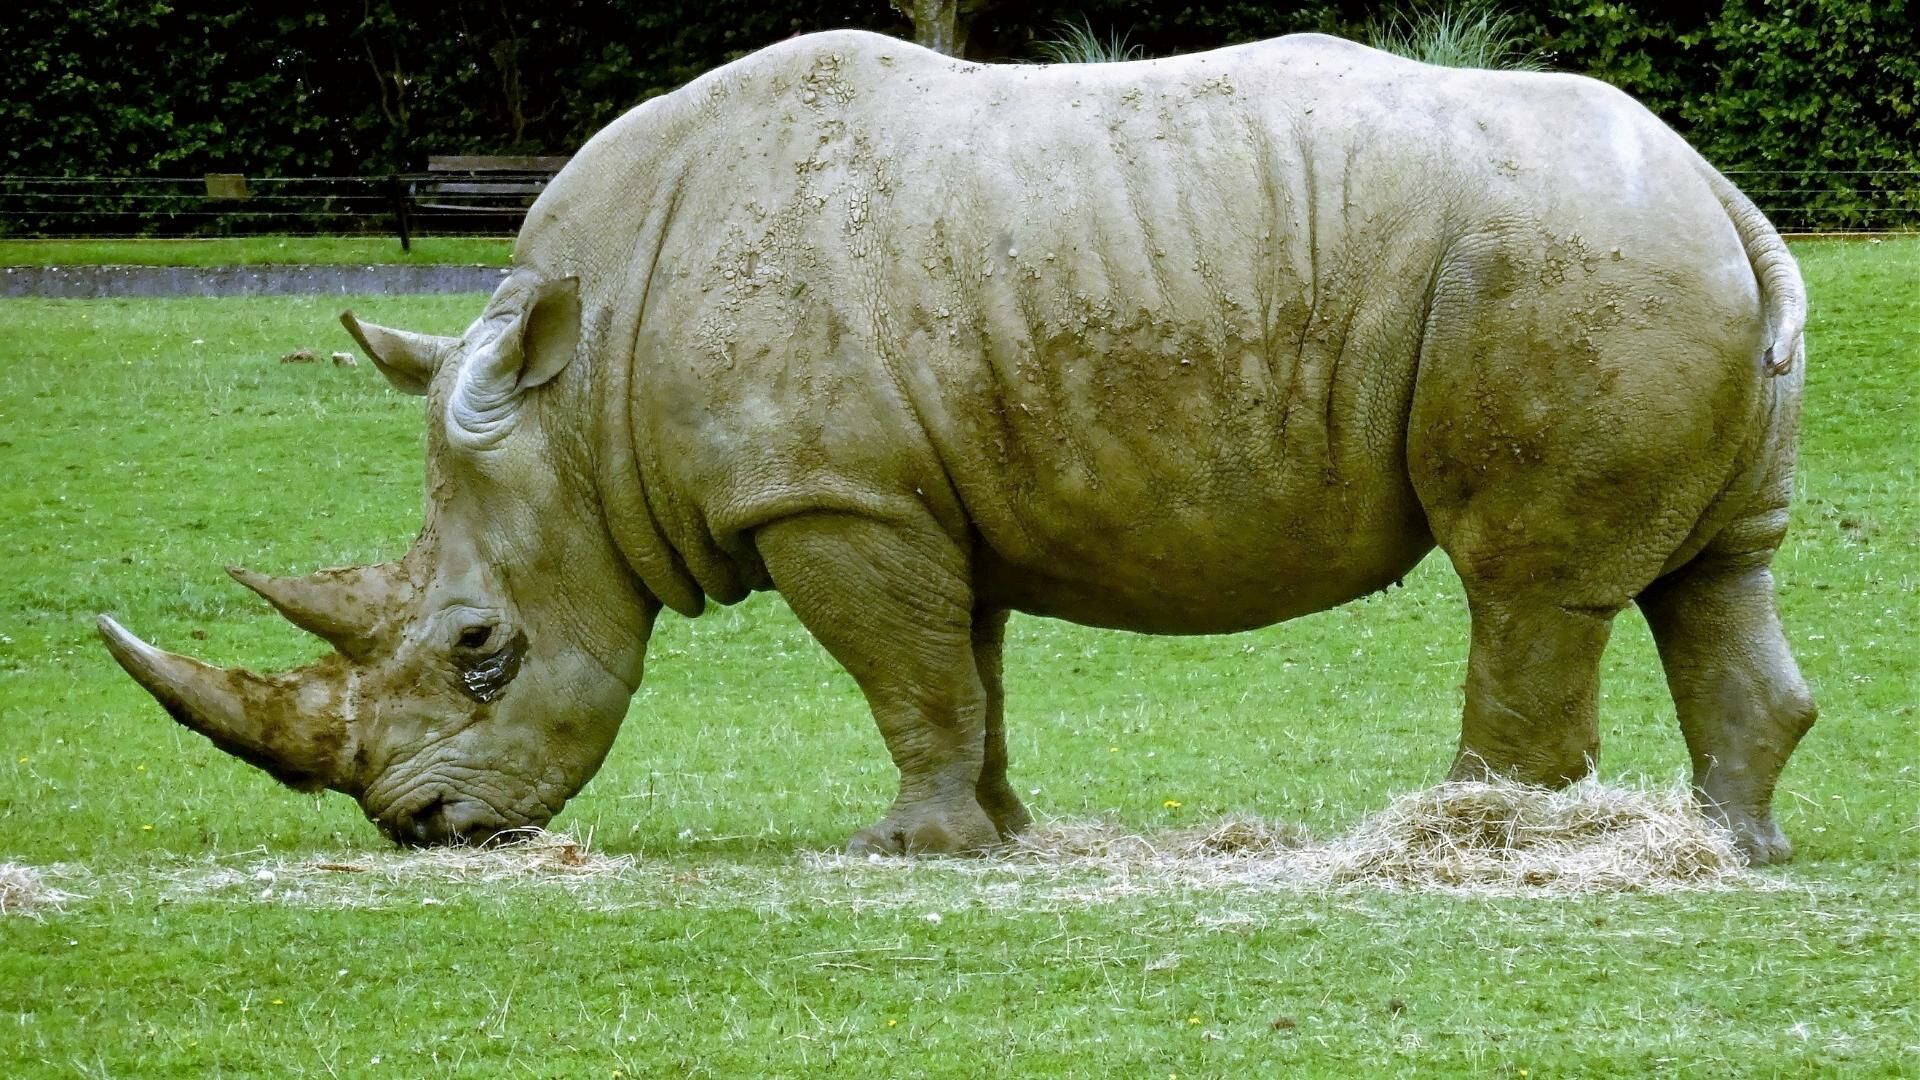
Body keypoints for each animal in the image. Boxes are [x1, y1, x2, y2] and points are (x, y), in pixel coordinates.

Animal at [99, 30, 1817, 863]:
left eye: (480, 652)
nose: (424, 832)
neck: (578, 400)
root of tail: (1722, 189)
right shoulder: (910, 489)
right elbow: (962, 671)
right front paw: (997, 837)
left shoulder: (829, 494)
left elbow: (904, 675)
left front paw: (900, 850)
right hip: (1650, 261)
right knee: (1716, 570)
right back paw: (1727, 851)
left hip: (1566, 263)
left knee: (1525, 584)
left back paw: (1463, 845)